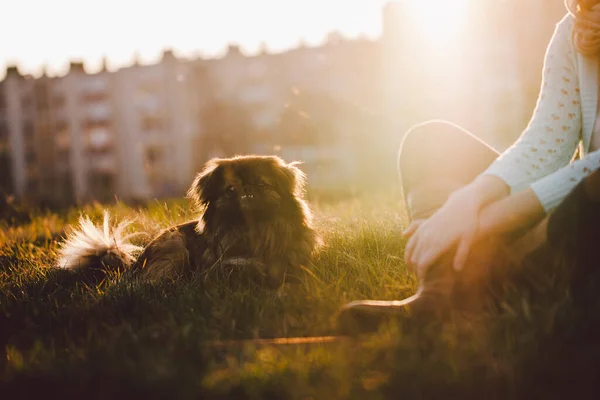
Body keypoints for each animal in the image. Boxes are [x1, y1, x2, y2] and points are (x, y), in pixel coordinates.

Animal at [56, 154, 318, 288]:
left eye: (262, 185)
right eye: (230, 189)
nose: (247, 191)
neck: (256, 233)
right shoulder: (223, 266)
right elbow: (245, 267)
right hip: (175, 246)